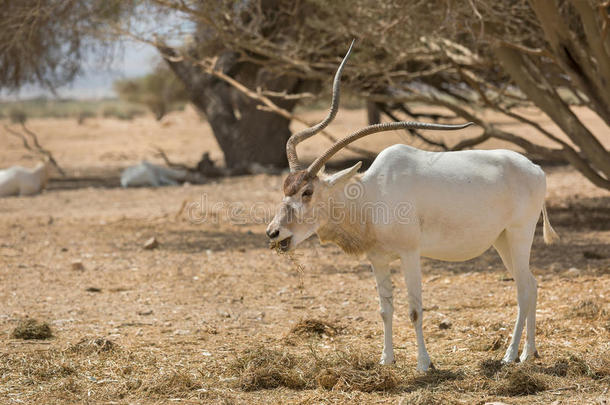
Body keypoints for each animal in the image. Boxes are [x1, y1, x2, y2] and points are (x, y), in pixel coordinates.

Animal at [264, 42, 560, 370]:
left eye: (308, 191)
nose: (273, 232)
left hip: (520, 233)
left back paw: (510, 356)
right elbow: (385, 310)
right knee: (532, 284)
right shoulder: (378, 259)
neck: (372, 195)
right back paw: (528, 352)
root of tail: (537, 169)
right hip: (502, 239)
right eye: (285, 189)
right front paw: (386, 360)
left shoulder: (410, 254)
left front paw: (424, 364)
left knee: (523, 289)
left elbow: (414, 310)